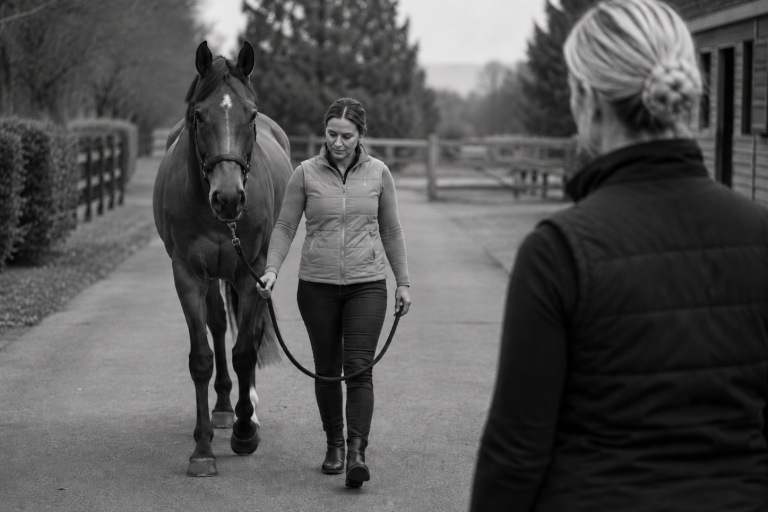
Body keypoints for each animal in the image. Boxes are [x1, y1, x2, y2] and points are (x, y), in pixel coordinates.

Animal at [153, 41, 292, 477]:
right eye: (199, 116)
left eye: (250, 115)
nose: (228, 198)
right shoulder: (187, 274)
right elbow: (202, 357)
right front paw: (203, 448)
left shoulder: (252, 273)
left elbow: (245, 350)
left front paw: (246, 433)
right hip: (214, 275)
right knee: (217, 325)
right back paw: (224, 408)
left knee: (251, 332)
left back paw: (247, 411)